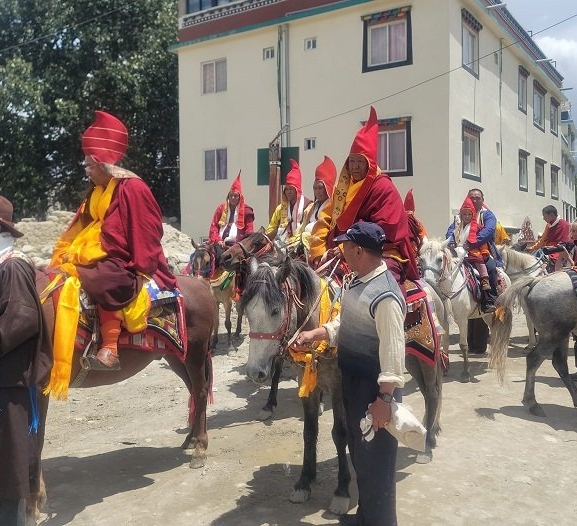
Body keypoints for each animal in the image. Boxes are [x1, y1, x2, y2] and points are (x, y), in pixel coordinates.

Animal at [28, 272, 215, 524]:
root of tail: (200, 283)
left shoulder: (37, 387)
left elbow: (35, 442)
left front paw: (33, 505)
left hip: (195, 353)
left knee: (201, 392)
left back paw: (200, 449)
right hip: (177, 357)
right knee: (194, 391)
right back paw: (191, 439)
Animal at [418, 239, 508, 384]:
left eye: (439, 259)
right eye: (421, 259)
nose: (428, 281)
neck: (450, 287)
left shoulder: (462, 320)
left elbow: (463, 345)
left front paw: (466, 373)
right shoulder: (444, 321)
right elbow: (445, 342)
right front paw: (445, 369)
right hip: (487, 315)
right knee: (494, 332)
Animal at [488, 274, 576, 418]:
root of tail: (537, 280)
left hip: (562, 334)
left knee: (560, 364)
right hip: (554, 335)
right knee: (534, 359)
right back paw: (532, 403)